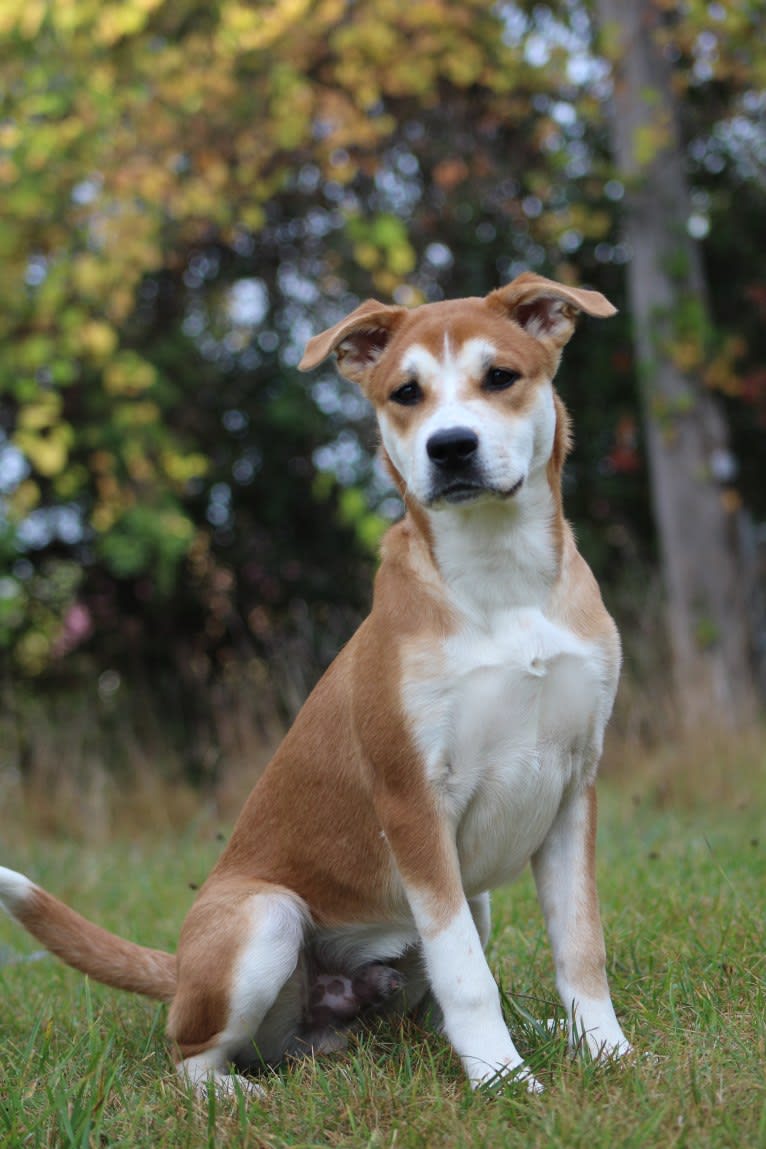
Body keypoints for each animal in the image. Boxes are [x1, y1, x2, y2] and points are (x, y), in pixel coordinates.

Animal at [0, 271, 633, 1093]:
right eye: (405, 392)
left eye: (500, 376)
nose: (450, 447)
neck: (502, 583)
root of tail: (179, 969)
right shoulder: (414, 802)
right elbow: (468, 974)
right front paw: (502, 1080)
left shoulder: (572, 789)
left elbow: (580, 945)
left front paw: (606, 1049)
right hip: (264, 919)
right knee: (189, 1056)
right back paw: (238, 1096)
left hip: (473, 900)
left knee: (410, 1014)